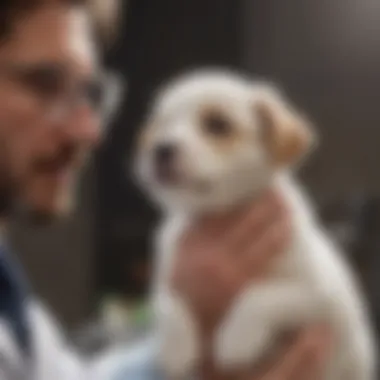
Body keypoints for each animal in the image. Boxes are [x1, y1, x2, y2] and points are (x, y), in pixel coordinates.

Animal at [134, 70, 378, 380]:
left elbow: (262, 295)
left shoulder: (322, 295)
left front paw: (236, 340)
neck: (221, 214)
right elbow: (166, 301)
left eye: (217, 124)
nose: (160, 149)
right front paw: (175, 348)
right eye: (162, 125)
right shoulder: (169, 275)